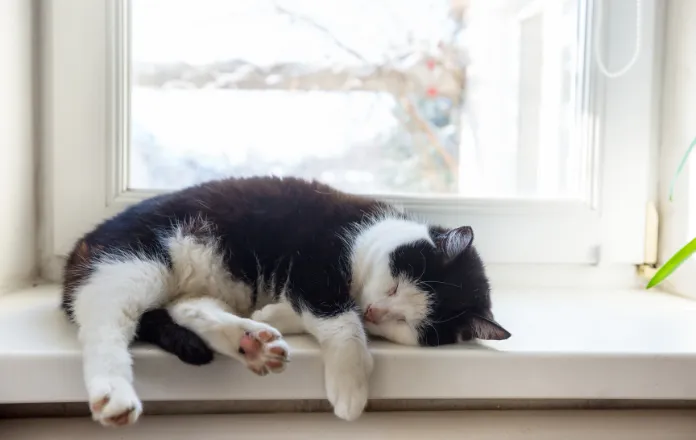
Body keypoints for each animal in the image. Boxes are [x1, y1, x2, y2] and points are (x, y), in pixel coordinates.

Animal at [62, 175, 508, 426]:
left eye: (407, 323)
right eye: (396, 286)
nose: (375, 311)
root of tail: (82, 244)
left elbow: (312, 309)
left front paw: (273, 313)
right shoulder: (315, 259)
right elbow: (341, 322)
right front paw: (350, 385)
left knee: (188, 307)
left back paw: (251, 340)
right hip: (136, 263)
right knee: (104, 323)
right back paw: (113, 394)